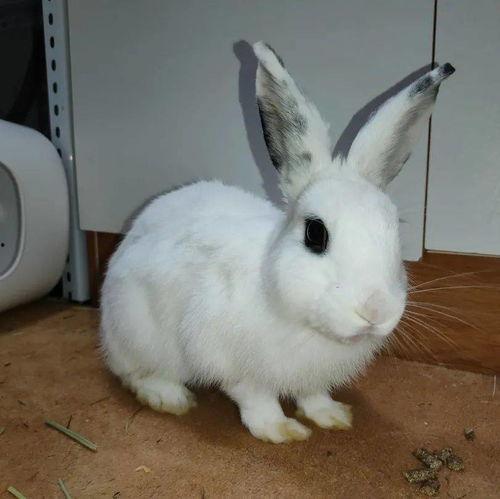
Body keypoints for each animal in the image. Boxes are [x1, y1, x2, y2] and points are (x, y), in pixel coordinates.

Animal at [100, 41, 455, 443]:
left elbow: (313, 394)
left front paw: (332, 416)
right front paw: (281, 430)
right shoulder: (231, 361)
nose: (376, 311)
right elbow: (255, 397)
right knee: (133, 373)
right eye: (315, 233)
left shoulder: (311, 376)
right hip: (139, 332)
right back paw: (169, 397)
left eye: (395, 227)